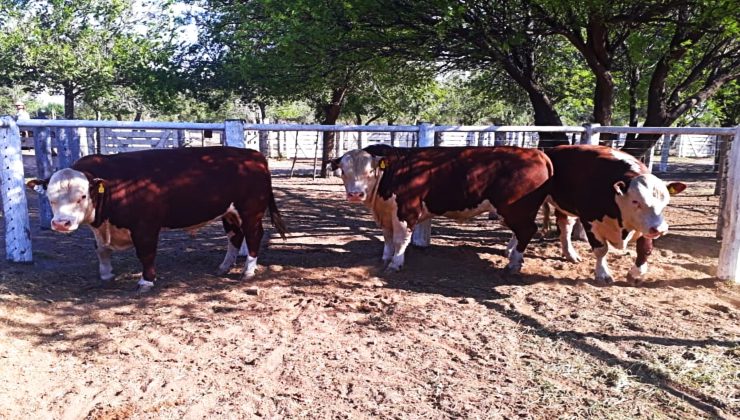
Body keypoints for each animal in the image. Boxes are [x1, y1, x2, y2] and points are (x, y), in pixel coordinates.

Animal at [26, 146, 286, 290]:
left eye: (81, 196)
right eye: (50, 198)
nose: (61, 223)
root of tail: (254, 155)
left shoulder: (145, 227)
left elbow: (146, 253)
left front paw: (146, 282)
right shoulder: (101, 229)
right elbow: (102, 250)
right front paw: (106, 275)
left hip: (250, 211)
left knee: (253, 236)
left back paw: (248, 271)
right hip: (229, 213)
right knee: (235, 237)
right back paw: (224, 266)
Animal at [328, 146, 548, 274]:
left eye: (369, 171)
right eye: (343, 171)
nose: (355, 194)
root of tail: (537, 153)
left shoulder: (406, 211)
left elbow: (400, 240)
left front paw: (395, 263)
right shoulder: (386, 212)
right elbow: (388, 238)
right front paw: (385, 258)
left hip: (515, 209)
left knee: (526, 231)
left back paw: (514, 264)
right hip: (518, 211)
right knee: (519, 232)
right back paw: (511, 254)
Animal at [540, 145, 684, 286]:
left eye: (666, 201)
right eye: (635, 201)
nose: (660, 229)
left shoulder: (645, 226)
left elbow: (644, 249)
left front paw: (636, 275)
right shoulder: (590, 222)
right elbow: (601, 250)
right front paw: (603, 274)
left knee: (565, 226)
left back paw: (570, 254)